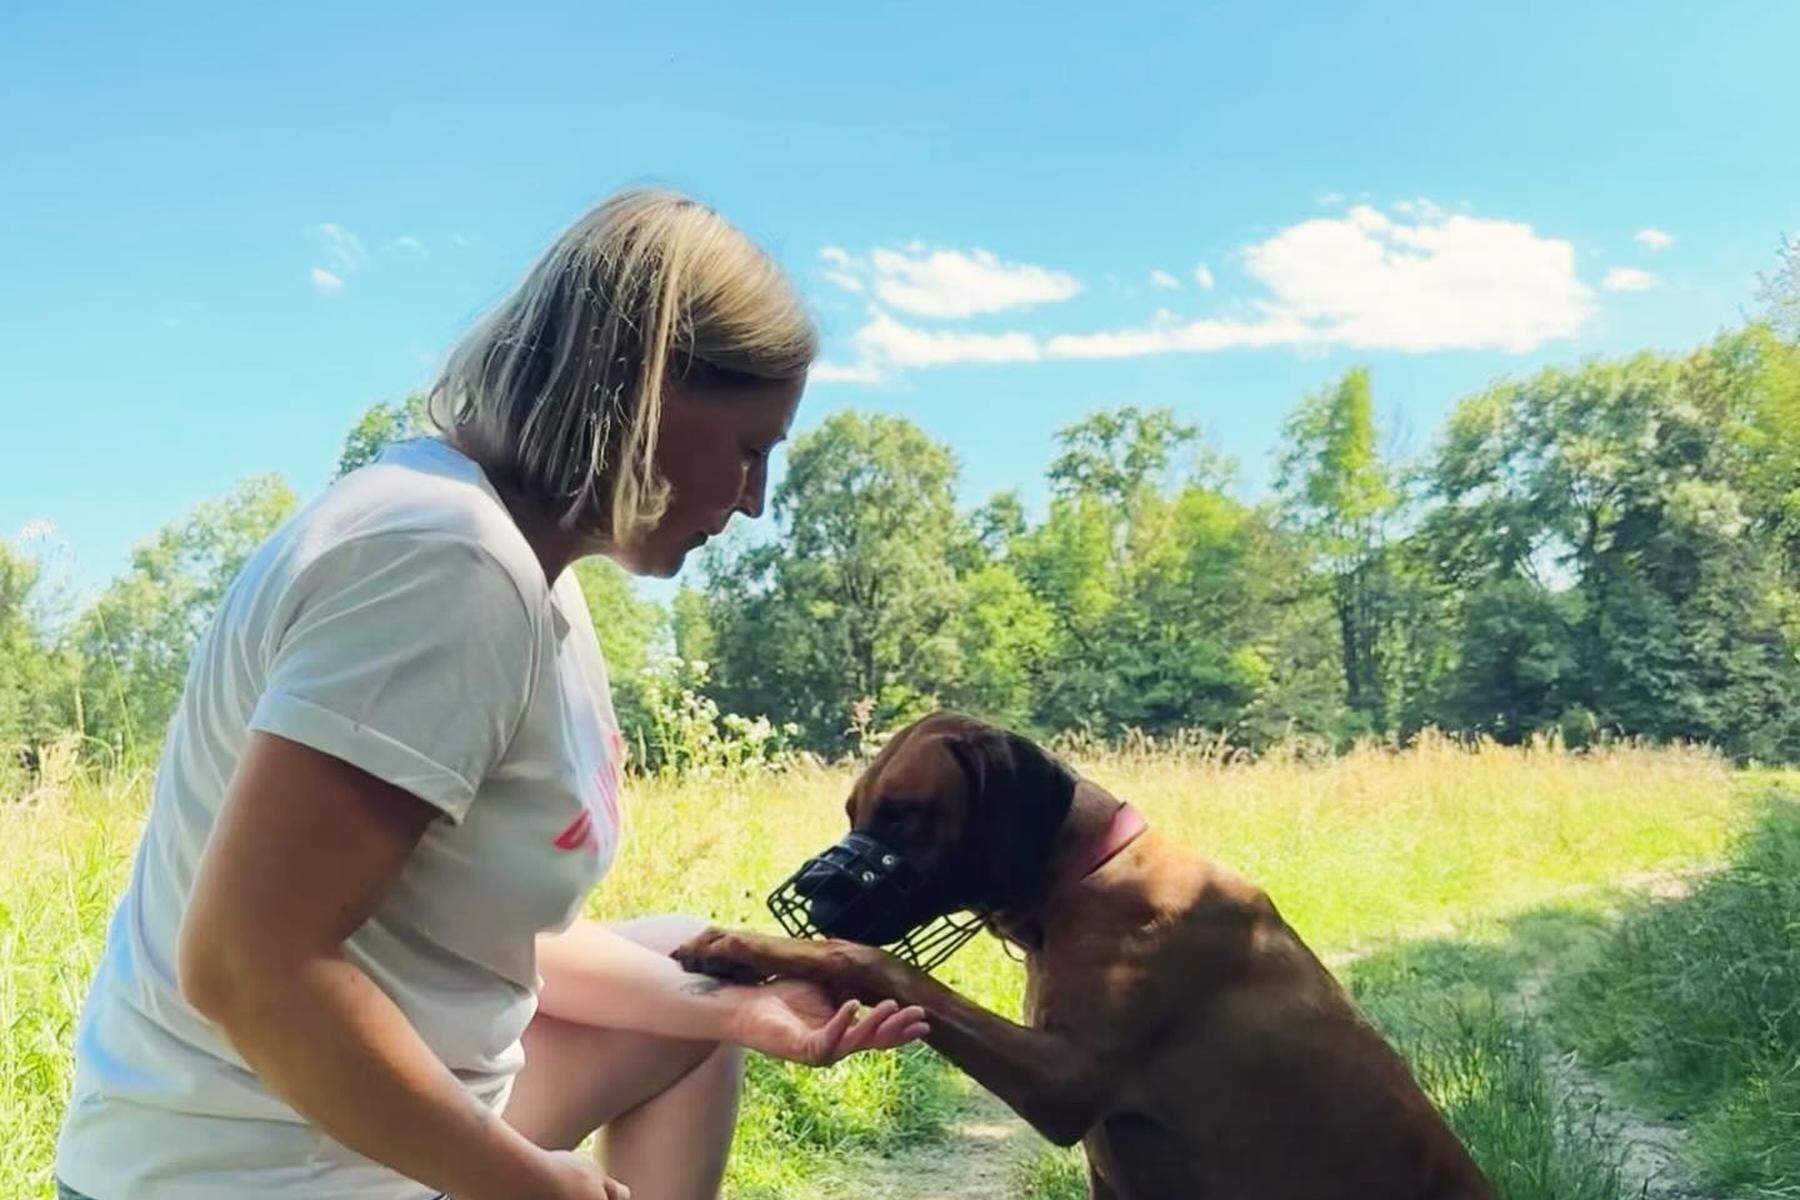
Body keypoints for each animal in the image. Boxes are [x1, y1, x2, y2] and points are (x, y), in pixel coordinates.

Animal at [676, 719, 1490, 1194]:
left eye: (903, 814)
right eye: (853, 812)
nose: (813, 894)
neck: (1084, 879)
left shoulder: (1062, 1078)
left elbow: (882, 965)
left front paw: (741, 945)